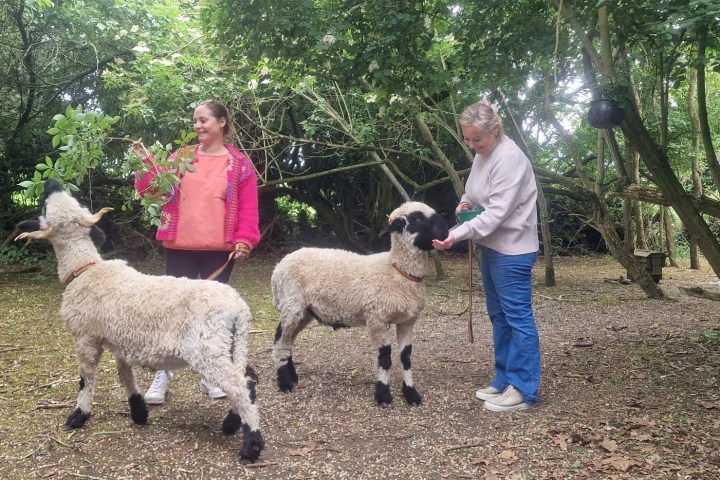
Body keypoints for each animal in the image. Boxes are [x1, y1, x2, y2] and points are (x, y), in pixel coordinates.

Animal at [14, 180, 264, 463]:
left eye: (46, 206)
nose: (50, 183)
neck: (85, 269)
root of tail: (239, 309)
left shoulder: (85, 337)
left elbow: (86, 378)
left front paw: (78, 416)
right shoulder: (119, 340)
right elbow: (125, 375)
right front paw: (138, 412)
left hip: (207, 348)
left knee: (239, 386)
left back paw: (251, 446)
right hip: (230, 344)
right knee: (248, 379)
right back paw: (232, 424)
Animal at [270, 201, 448, 407]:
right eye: (417, 218)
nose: (446, 233)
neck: (397, 271)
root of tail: (278, 268)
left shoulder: (407, 321)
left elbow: (406, 357)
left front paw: (411, 393)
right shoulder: (377, 319)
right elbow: (384, 357)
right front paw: (383, 395)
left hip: (305, 311)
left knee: (287, 340)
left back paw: (293, 377)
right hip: (292, 304)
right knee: (281, 340)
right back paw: (285, 383)